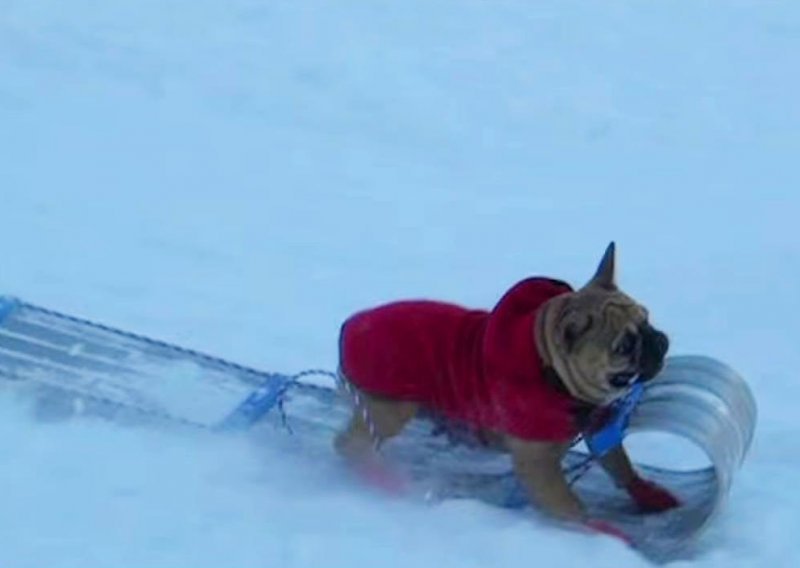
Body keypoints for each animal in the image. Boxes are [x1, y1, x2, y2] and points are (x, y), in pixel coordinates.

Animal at [334, 244, 680, 536]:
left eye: (647, 317)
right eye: (624, 346)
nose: (660, 340)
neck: (549, 371)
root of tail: (349, 327)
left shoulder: (600, 430)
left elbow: (619, 464)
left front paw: (648, 493)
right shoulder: (538, 468)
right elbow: (571, 508)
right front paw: (602, 533)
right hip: (389, 409)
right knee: (352, 444)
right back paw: (378, 477)